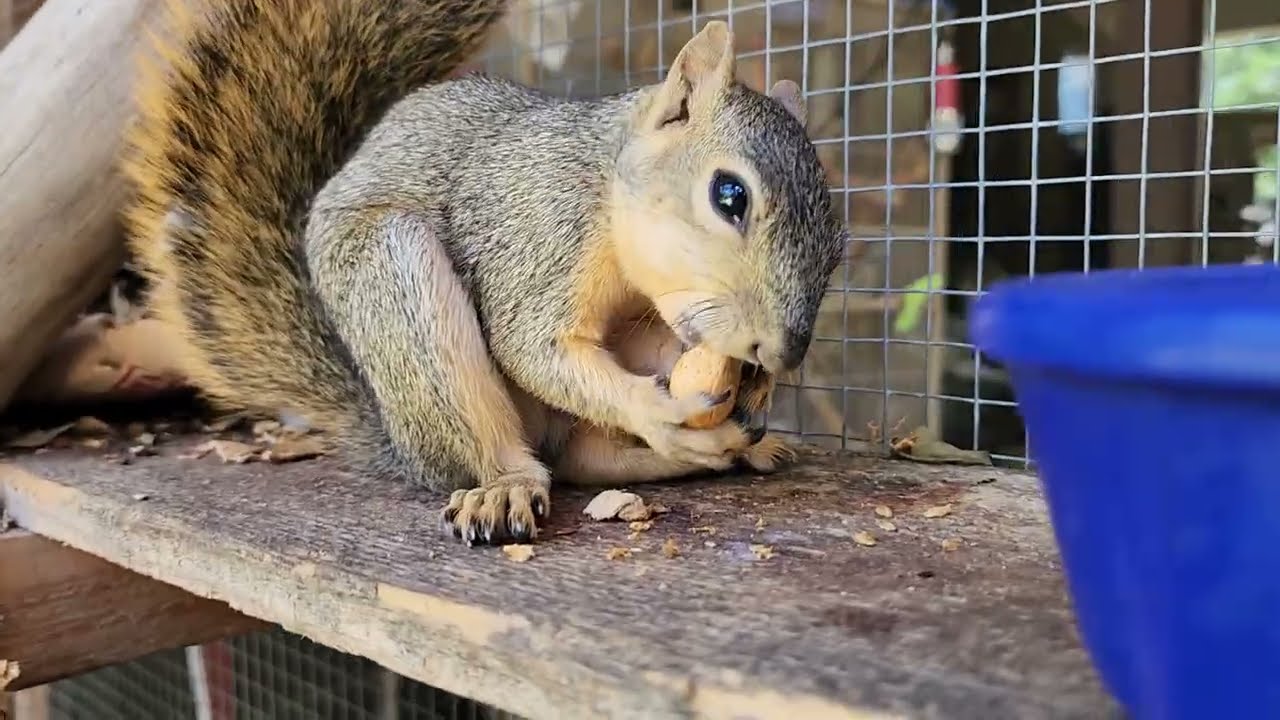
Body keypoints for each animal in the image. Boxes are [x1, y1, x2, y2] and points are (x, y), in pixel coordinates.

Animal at [121, 0, 847, 546]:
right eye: (730, 195)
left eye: (839, 245)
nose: (784, 351)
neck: (604, 189)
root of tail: (399, 441)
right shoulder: (534, 234)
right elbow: (532, 347)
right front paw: (661, 410)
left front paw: (755, 392)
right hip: (400, 288)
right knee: (505, 449)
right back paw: (506, 488)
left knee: (582, 457)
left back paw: (722, 450)